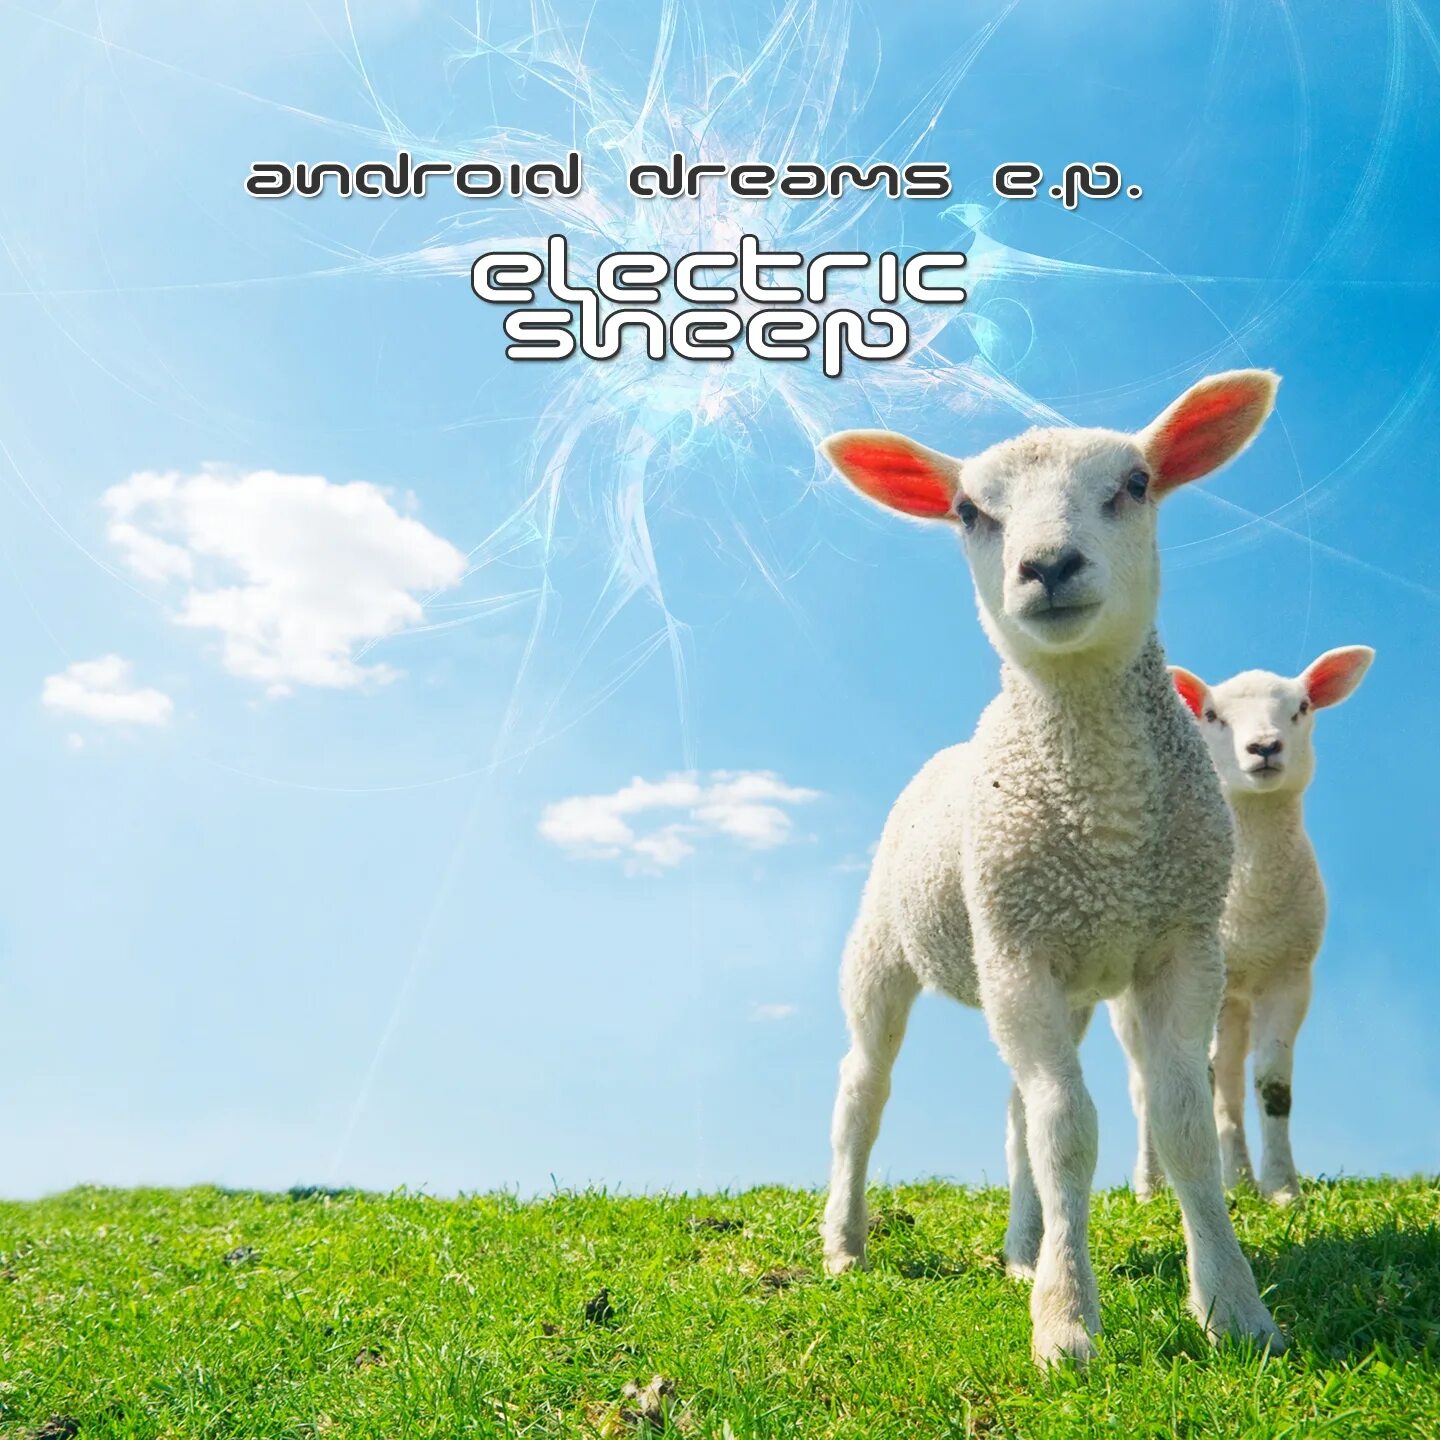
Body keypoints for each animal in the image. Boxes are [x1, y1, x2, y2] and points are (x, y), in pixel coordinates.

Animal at [817, 371, 1287, 1366]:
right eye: (967, 511)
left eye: (1137, 484)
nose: (1049, 565)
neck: (1103, 822)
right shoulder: (1017, 949)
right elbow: (1069, 1132)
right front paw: (1068, 1327)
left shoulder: (1181, 944)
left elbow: (1179, 1124)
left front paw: (1234, 1308)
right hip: (890, 949)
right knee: (864, 1090)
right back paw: (845, 1243)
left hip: (1056, 977)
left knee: (1016, 1113)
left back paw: (1024, 1250)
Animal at [1126, 647, 1374, 1205]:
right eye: (1211, 716)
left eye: (1302, 707)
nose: (1263, 747)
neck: (1247, 902)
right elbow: (1199, 1080)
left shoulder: (1290, 976)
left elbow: (1271, 1085)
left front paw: (1282, 1190)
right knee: (1147, 1082)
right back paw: (1151, 1186)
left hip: (1234, 1001)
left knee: (1228, 1079)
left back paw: (1237, 1177)